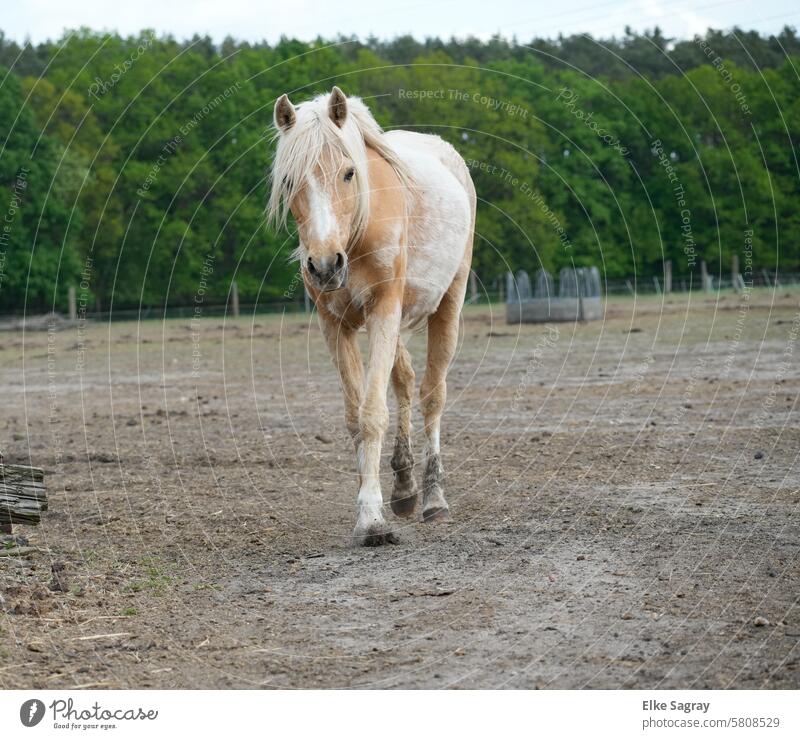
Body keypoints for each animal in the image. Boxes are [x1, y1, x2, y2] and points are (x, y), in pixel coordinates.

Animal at [268, 88, 476, 548]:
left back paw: (433, 499)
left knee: (432, 394)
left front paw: (371, 521)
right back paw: (404, 489)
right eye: (289, 181)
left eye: (349, 173)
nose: (325, 266)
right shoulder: (334, 323)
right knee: (406, 380)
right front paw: (375, 506)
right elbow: (354, 417)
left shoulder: (384, 308)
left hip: (448, 303)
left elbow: (372, 413)